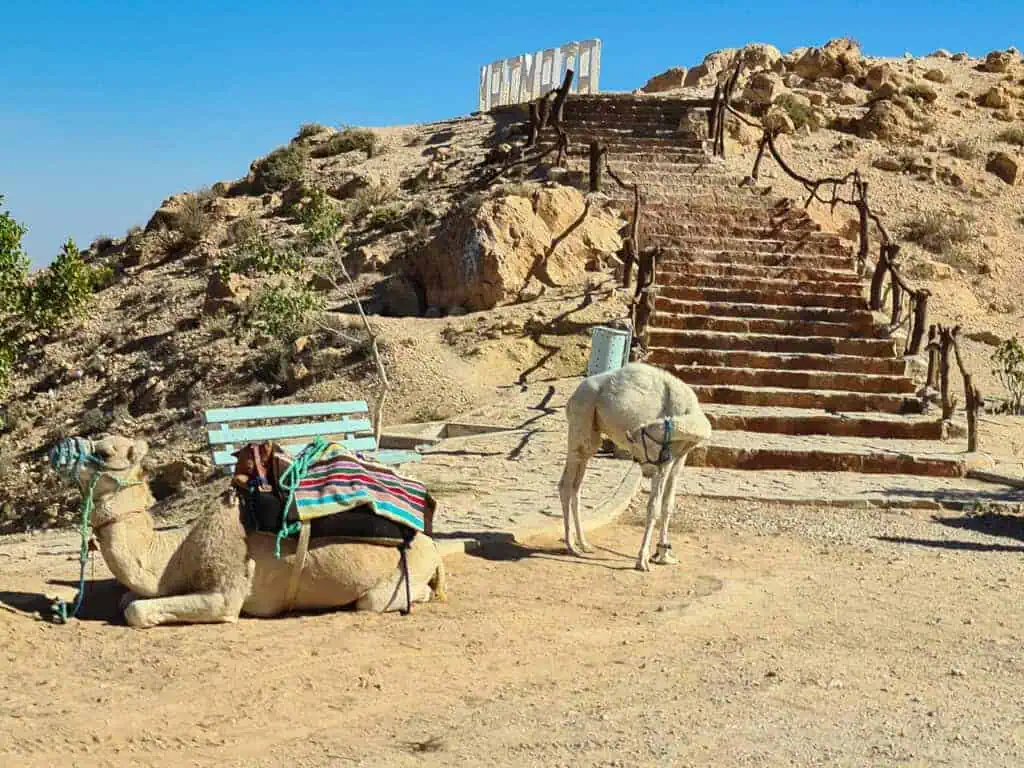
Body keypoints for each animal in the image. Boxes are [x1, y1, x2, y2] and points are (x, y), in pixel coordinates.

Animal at [47, 434, 447, 628]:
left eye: (103, 452)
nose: (57, 451)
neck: (176, 551)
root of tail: (430, 538)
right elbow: (127, 599)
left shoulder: (226, 593)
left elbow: (136, 611)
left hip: (399, 574)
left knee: (380, 599)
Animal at [558, 362, 712, 572]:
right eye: (637, 450)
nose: (645, 471)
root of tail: (573, 395)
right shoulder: (664, 460)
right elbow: (653, 507)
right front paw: (643, 560)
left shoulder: (678, 458)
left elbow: (668, 505)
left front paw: (664, 555)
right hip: (581, 416)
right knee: (566, 483)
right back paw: (571, 545)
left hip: (591, 433)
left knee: (577, 484)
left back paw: (583, 544)